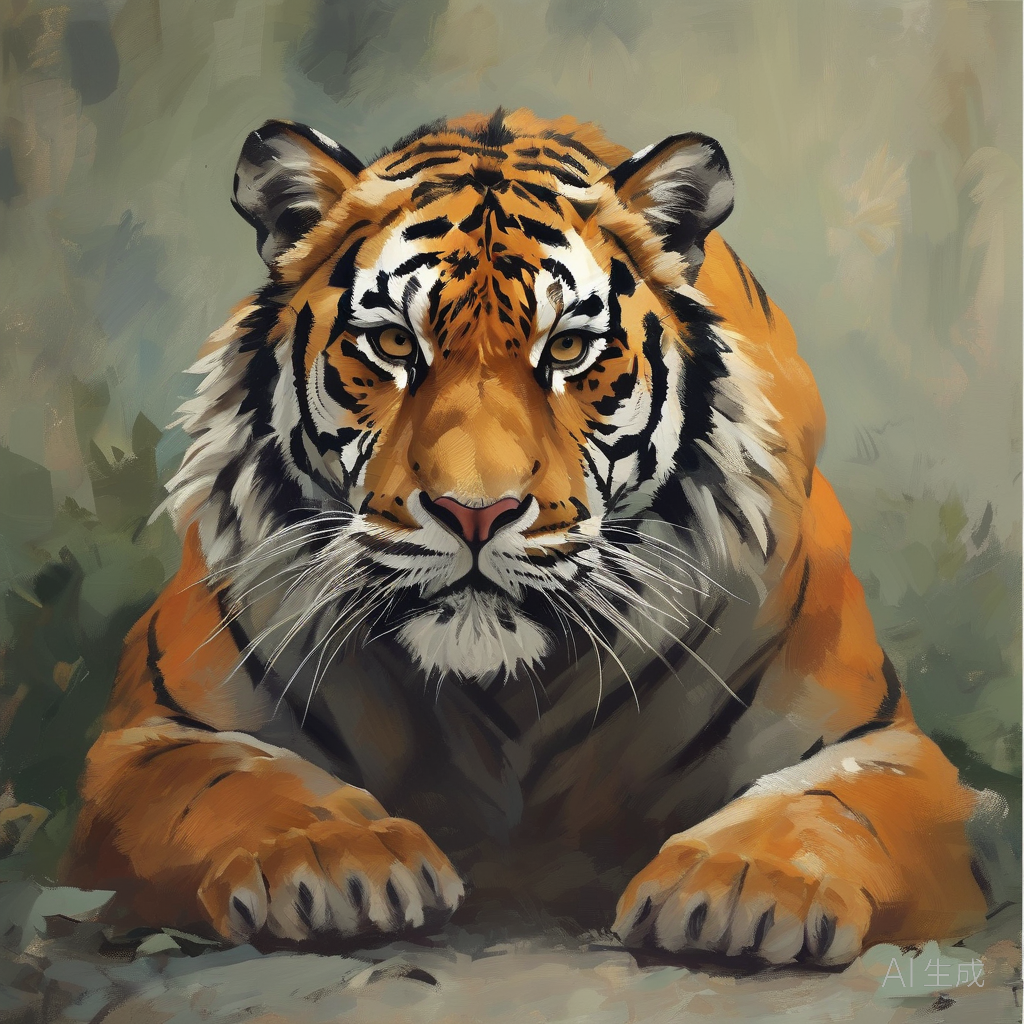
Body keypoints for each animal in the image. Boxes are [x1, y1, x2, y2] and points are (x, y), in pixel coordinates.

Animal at [63, 108, 1001, 965]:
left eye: (572, 350)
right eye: (393, 343)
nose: (475, 512)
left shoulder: (886, 746)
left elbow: (830, 801)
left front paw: (747, 885)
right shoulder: (152, 733)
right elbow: (237, 780)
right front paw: (336, 858)